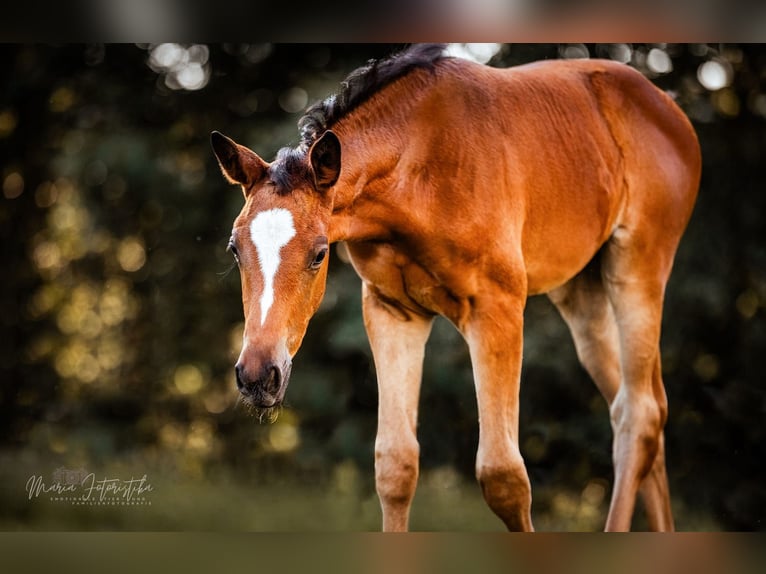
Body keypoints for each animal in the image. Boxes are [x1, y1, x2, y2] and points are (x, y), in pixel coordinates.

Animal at [210, 45, 704, 536]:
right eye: (234, 249)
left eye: (318, 254)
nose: (258, 375)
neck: (420, 166)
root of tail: (668, 108)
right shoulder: (392, 312)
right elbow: (395, 466)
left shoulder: (496, 309)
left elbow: (504, 476)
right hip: (581, 294)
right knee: (638, 408)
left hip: (637, 269)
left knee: (641, 413)